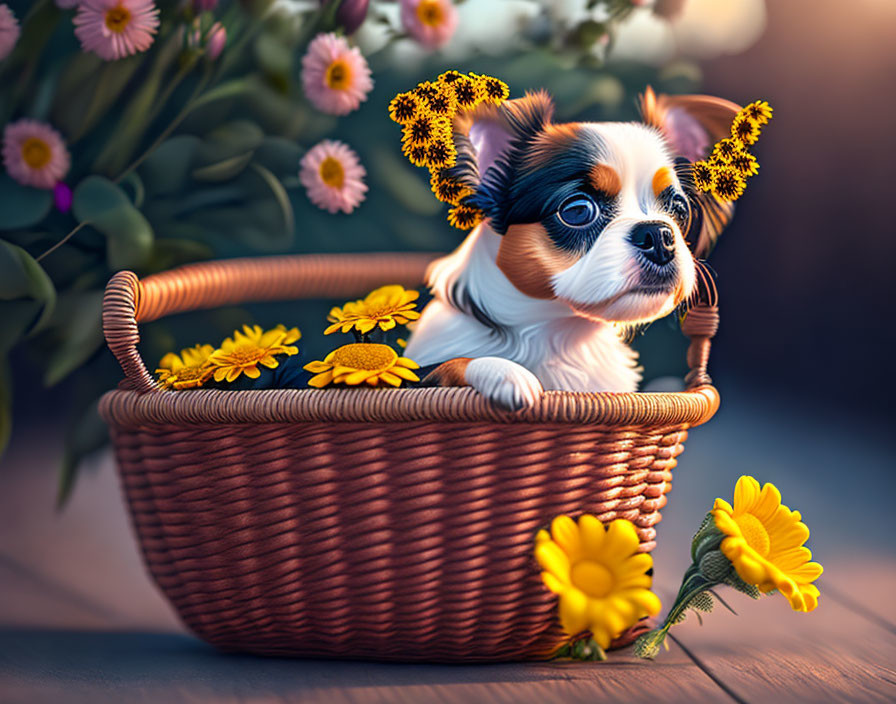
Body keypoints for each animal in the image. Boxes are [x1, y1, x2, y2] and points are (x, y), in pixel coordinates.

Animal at [408, 86, 744, 412]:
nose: (658, 235)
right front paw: (507, 373)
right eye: (578, 211)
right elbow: (447, 364)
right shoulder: (416, 374)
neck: (564, 336)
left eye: (678, 209)